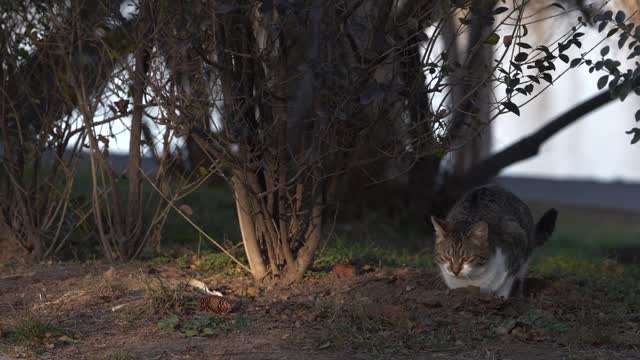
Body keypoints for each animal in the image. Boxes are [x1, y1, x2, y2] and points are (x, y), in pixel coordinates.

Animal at [430, 184, 560, 300]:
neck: (474, 280)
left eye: (466, 258)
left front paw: (501, 297)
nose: (455, 271)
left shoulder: (517, 245)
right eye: (447, 257)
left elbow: (508, 280)